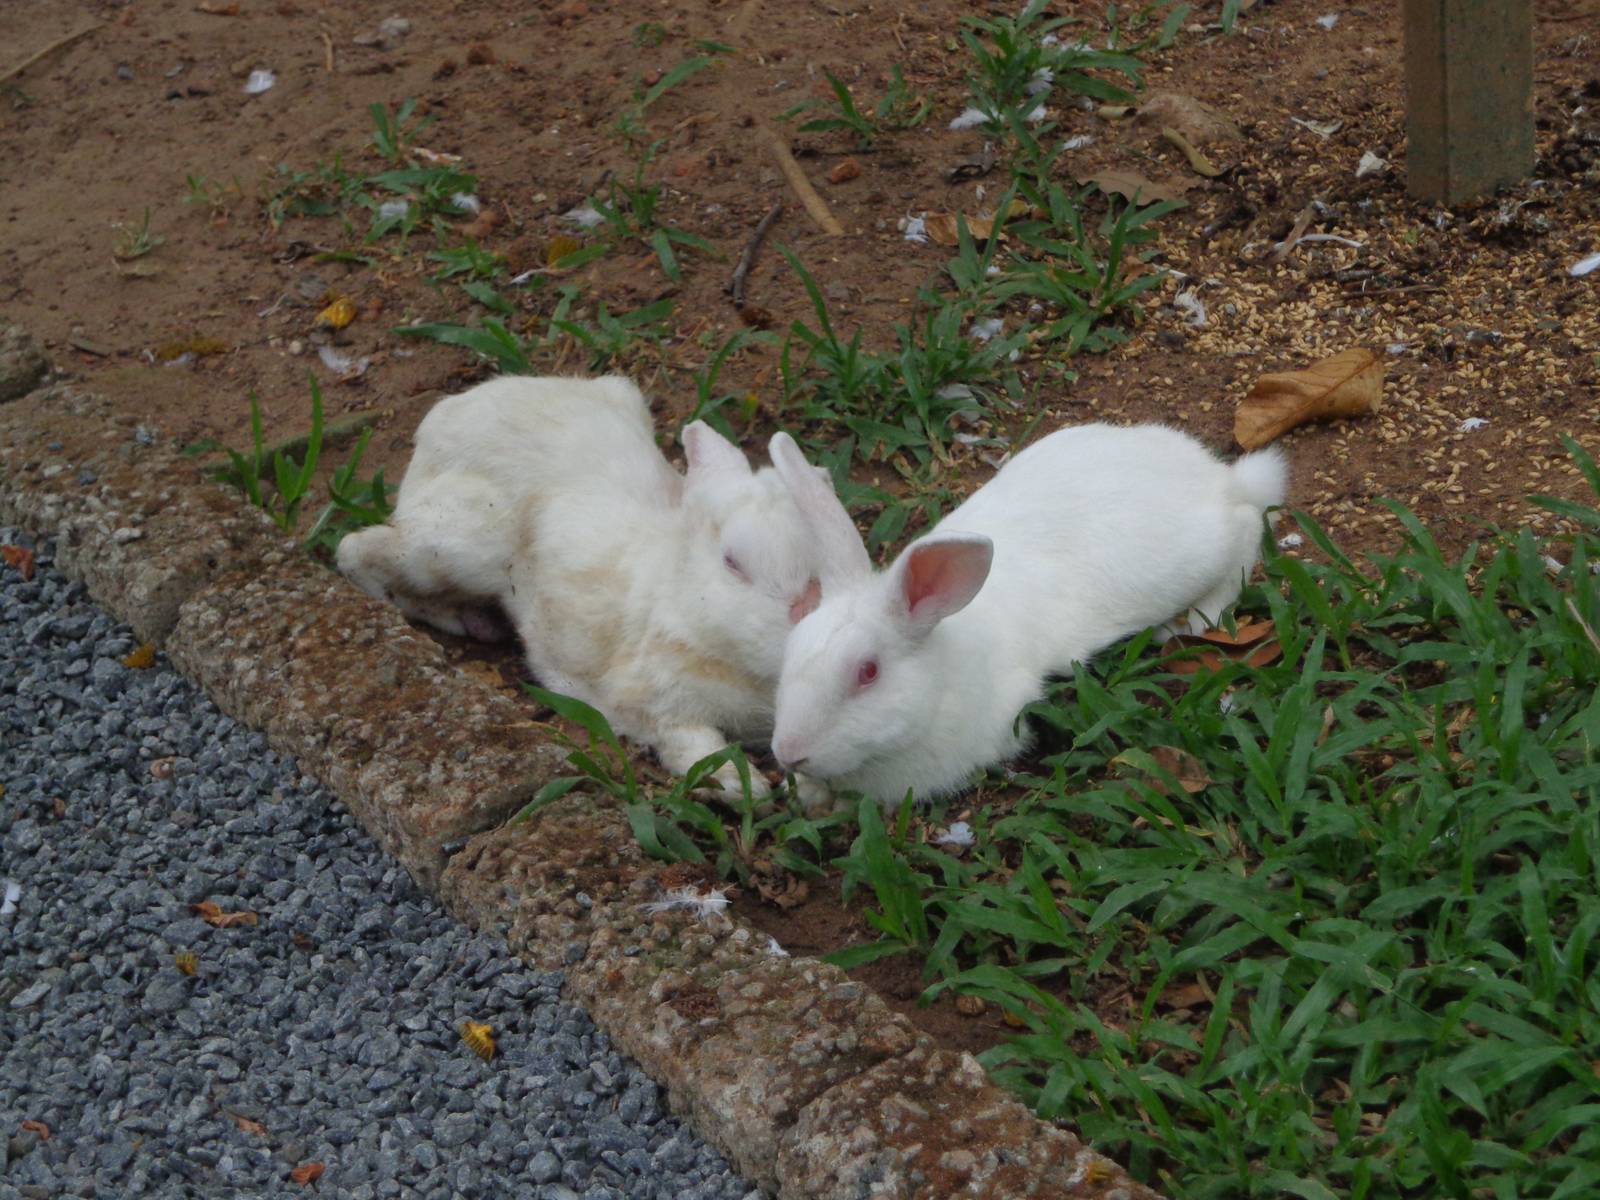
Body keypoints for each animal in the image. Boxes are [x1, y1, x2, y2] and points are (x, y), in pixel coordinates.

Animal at [337, 374, 826, 796]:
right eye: (733, 563)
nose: (807, 614)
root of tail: (444, 418)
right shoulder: (653, 704)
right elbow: (691, 744)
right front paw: (739, 785)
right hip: (453, 547)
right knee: (355, 552)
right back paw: (463, 620)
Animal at [764, 422, 1288, 811]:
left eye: (868, 672)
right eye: (787, 658)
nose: (788, 753)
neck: (941, 675)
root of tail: (1219, 478)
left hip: (1192, 558)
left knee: (1246, 527)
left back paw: (1195, 619)